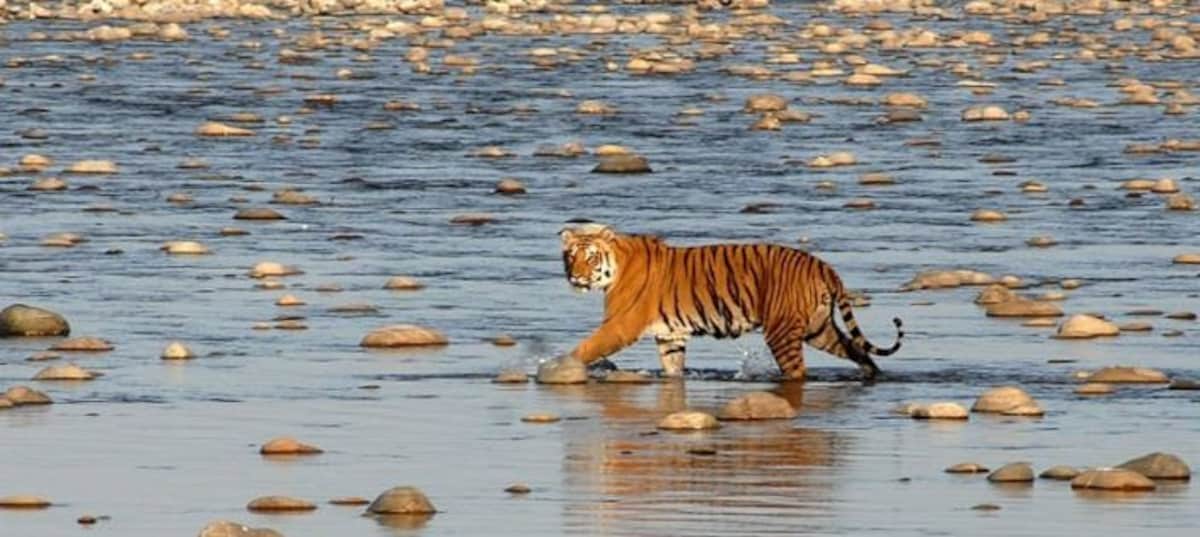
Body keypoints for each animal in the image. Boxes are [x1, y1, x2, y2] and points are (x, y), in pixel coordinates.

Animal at [559, 223, 903, 380]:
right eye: (570, 256)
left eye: (590, 258)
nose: (575, 276)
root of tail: (821, 265)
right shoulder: (670, 335)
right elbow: (673, 366)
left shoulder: (621, 324)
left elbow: (586, 348)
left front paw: (559, 365)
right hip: (818, 329)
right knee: (856, 349)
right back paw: (871, 373)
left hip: (782, 331)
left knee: (798, 370)